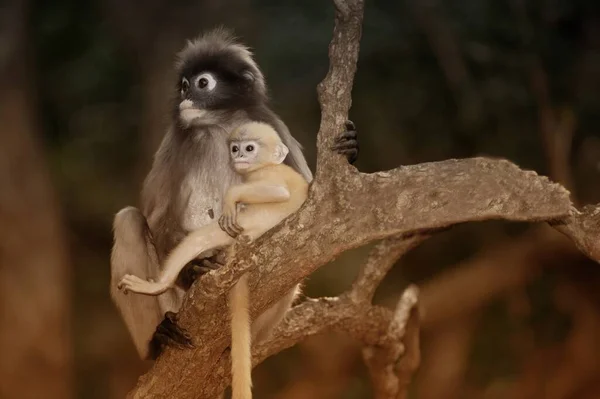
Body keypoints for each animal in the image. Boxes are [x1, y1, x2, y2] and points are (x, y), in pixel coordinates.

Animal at [110, 26, 358, 360]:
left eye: (202, 83)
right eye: (184, 85)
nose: (186, 98)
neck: (218, 125)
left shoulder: (274, 127)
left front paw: (351, 148)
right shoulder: (174, 143)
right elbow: (157, 217)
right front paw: (193, 270)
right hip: (172, 302)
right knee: (128, 220)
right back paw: (158, 338)